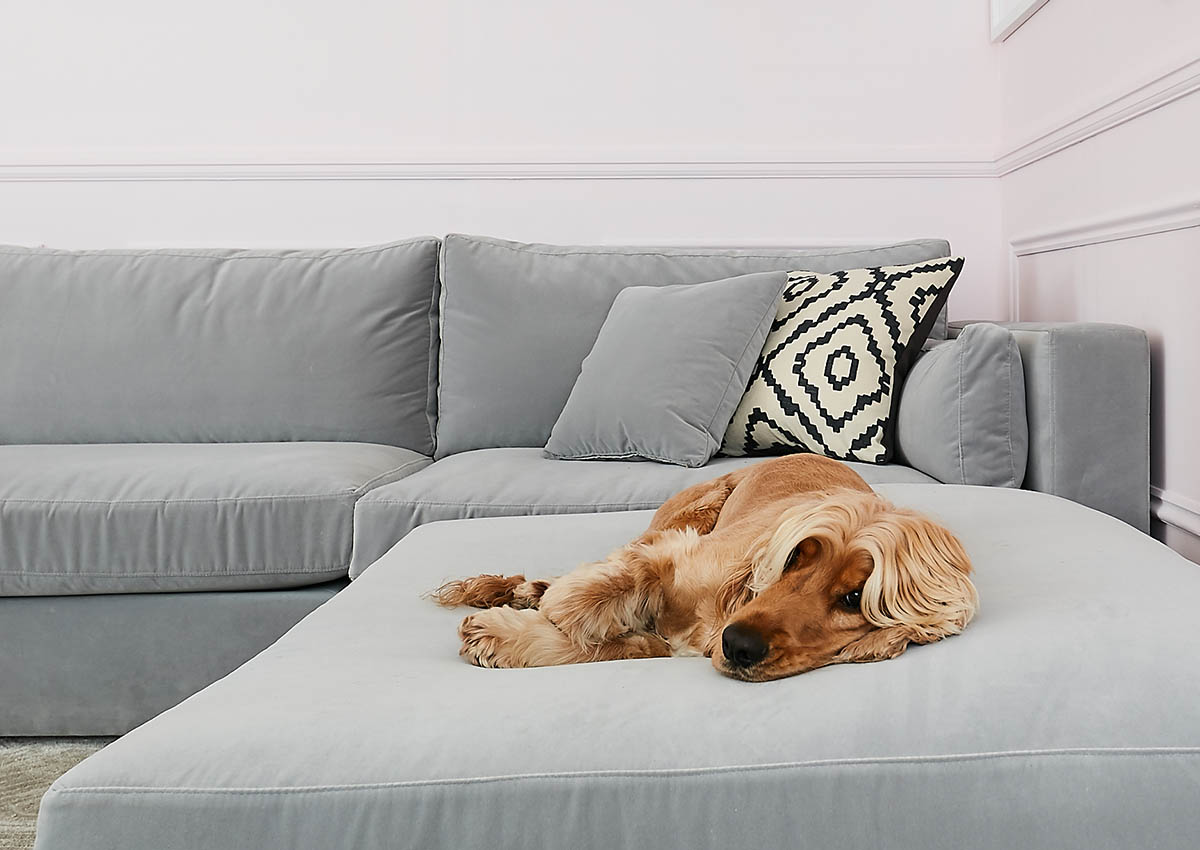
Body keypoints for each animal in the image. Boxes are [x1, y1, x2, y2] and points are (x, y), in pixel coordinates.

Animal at [432, 453, 974, 681]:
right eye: (793, 558)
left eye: (853, 599)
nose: (739, 645)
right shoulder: (676, 555)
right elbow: (622, 579)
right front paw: (559, 608)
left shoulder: (662, 645)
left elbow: (615, 647)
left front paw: (499, 638)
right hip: (696, 505)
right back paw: (530, 590)